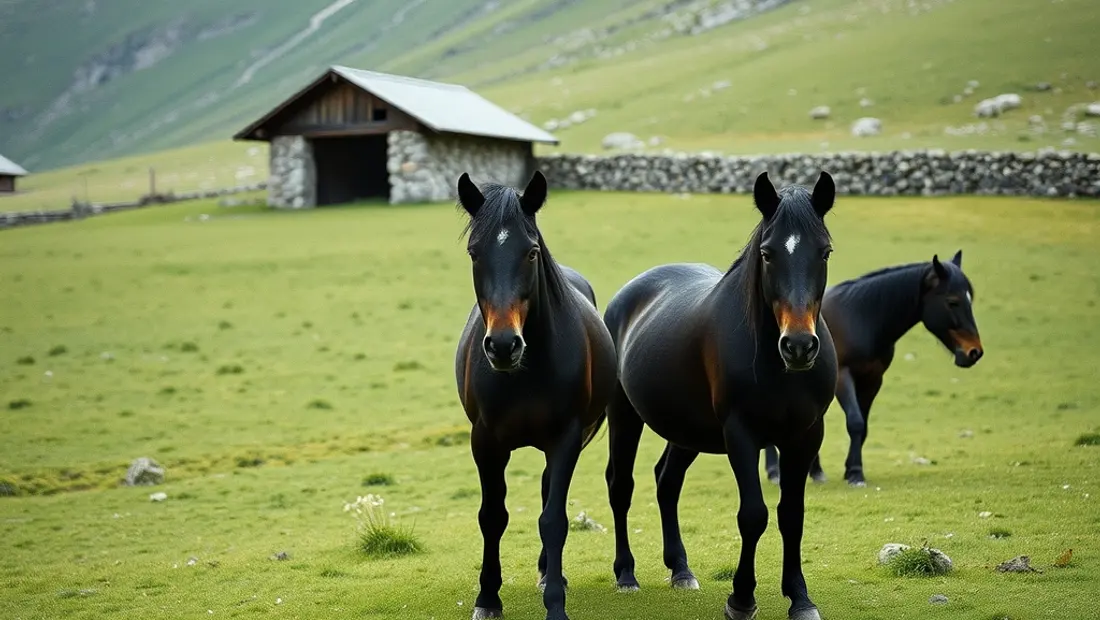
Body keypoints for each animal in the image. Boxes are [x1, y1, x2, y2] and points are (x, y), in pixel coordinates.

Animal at [453, 170, 617, 620]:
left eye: (530, 253)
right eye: (474, 253)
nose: (503, 345)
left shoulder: (566, 438)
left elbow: (553, 519)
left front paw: (555, 602)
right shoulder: (484, 441)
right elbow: (492, 516)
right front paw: (487, 599)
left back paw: (548, 574)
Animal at [603, 171, 838, 620]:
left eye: (825, 252)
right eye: (767, 254)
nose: (799, 346)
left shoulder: (805, 436)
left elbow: (792, 516)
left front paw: (800, 598)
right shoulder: (740, 434)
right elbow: (754, 515)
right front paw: (741, 599)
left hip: (686, 432)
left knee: (667, 481)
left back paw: (681, 569)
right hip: (624, 416)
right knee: (620, 484)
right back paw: (626, 574)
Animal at [763, 250, 984, 486]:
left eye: (970, 298)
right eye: (952, 302)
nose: (974, 352)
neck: (861, 319)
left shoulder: (873, 380)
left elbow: (864, 427)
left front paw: (850, 469)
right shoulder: (844, 377)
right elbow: (855, 422)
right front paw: (855, 474)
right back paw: (775, 471)